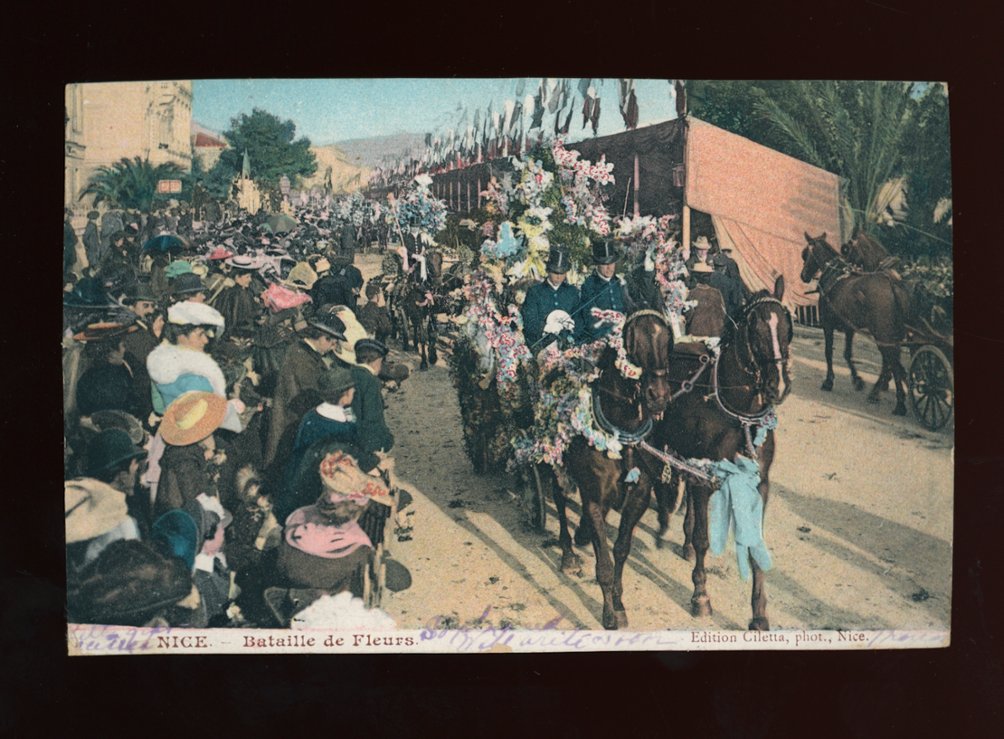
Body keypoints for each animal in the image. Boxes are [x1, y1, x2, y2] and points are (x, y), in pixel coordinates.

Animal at [550, 311, 674, 630]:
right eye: (631, 342)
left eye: (667, 339)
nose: (658, 396)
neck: (622, 436)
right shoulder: (593, 499)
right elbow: (604, 563)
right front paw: (608, 613)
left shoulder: (638, 498)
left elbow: (620, 549)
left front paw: (618, 602)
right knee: (558, 498)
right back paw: (568, 553)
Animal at [650, 277, 791, 630]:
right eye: (754, 327)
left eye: (787, 325)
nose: (778, 386)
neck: (738, 415)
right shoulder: (704, 476)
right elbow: (704, 537)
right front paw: (700, 596)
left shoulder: (760, 483)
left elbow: (754, 543)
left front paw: (759, 614)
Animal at [799, 231, 911, 413]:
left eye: (805, 254)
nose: (803, 276)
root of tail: (892, 284)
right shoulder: (849, 328)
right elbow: (847, 353)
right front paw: (857, 380)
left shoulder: (827, 325)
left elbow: (828, 352)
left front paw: (828, 381)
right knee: (892, 360)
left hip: (882, 334)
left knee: (892, 360)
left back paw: (897, 402)